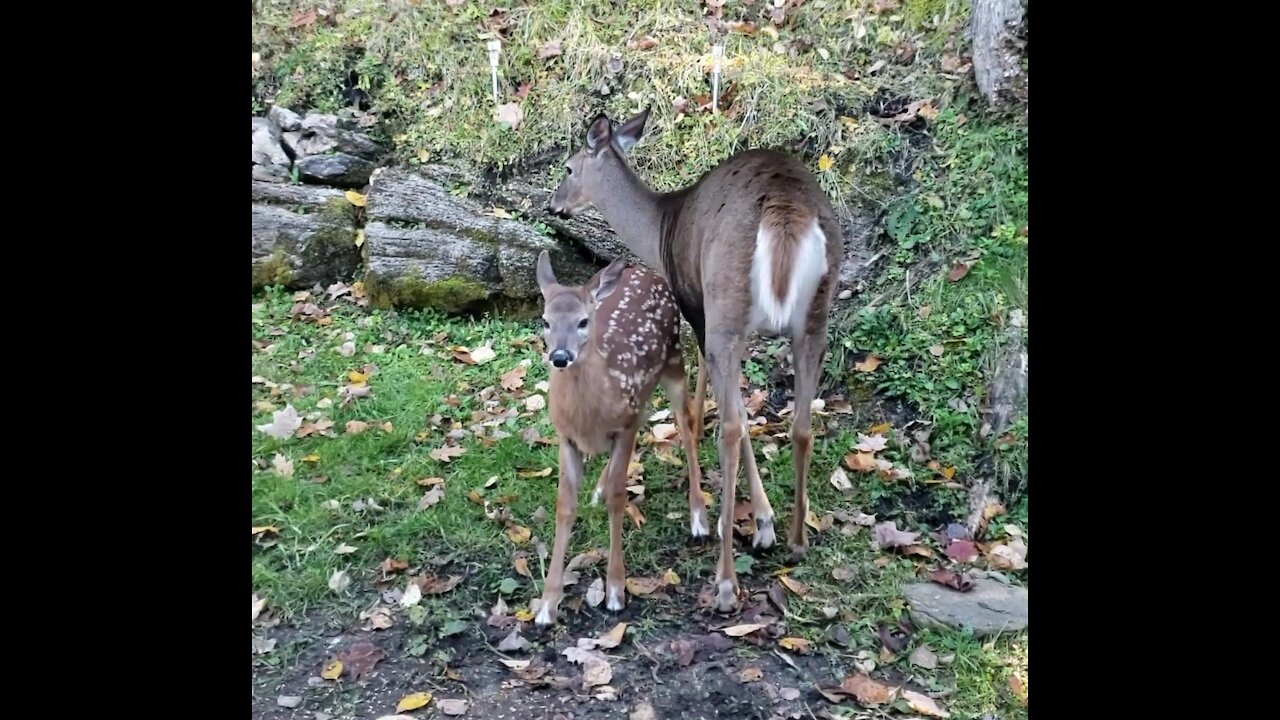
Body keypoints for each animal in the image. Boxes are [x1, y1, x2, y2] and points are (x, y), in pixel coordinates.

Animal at [532, 249, 711, 625]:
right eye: (545, 321)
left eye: (583, 322)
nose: (560, 357)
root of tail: (648, 271)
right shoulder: (566, 437)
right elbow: (564, 505)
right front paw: (547, 605)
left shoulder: (623, 428)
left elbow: (619, 497)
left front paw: (615, 589)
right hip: (643, 395)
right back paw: (598, 487)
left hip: (675, 362)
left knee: (687, 428)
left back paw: (698, 517)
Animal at [547, 107, 839, 609]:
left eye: (568, 167)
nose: (553, 205)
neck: (660, 228)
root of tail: (786, 215)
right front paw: (763, 519)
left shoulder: (695, 303)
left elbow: (715, 404)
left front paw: (751, 519)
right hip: (814, 318)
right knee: (802, 424)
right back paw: (798, 541)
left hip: (728, 300)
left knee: (734, 427)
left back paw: (725, 579)